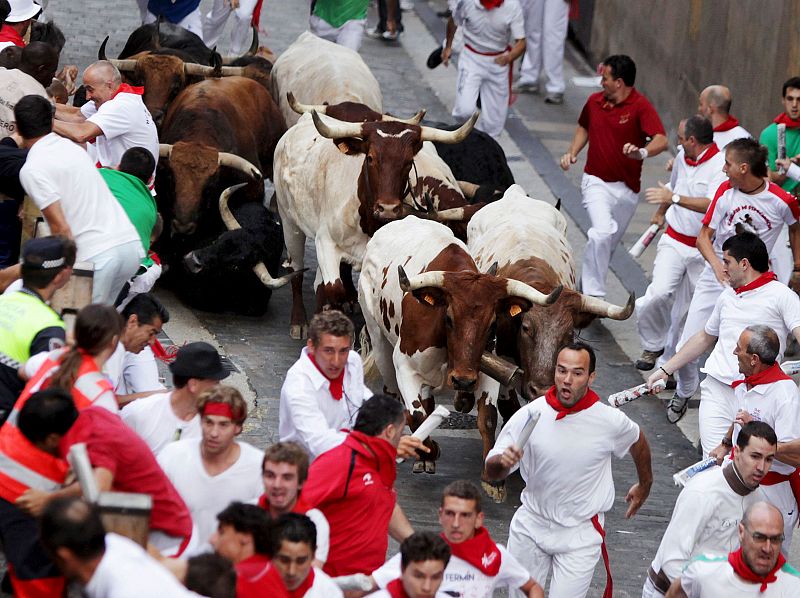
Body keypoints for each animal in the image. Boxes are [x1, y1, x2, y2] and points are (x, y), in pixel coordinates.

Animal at [272, 109, 478, 340]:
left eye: (408, 162)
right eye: (370, 158)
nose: (388, 208)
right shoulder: (325, 242)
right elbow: (334, 289)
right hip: (289, 221)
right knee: (296, 269)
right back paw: (299, 321)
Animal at [360, 218, 560, 476]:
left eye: (492, 324)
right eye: (448, 318)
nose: (463, 382)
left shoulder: (487, 369)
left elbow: (488, 416)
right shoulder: (405, 366)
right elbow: (415, 415)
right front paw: (430, 450)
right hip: (379, 340)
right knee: (393, 391)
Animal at [466, 186, 636, 502]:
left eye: (568, 335)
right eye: (526, 328)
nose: (541, 389)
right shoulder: (493, 357)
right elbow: (494, 411)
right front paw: (494, 479)